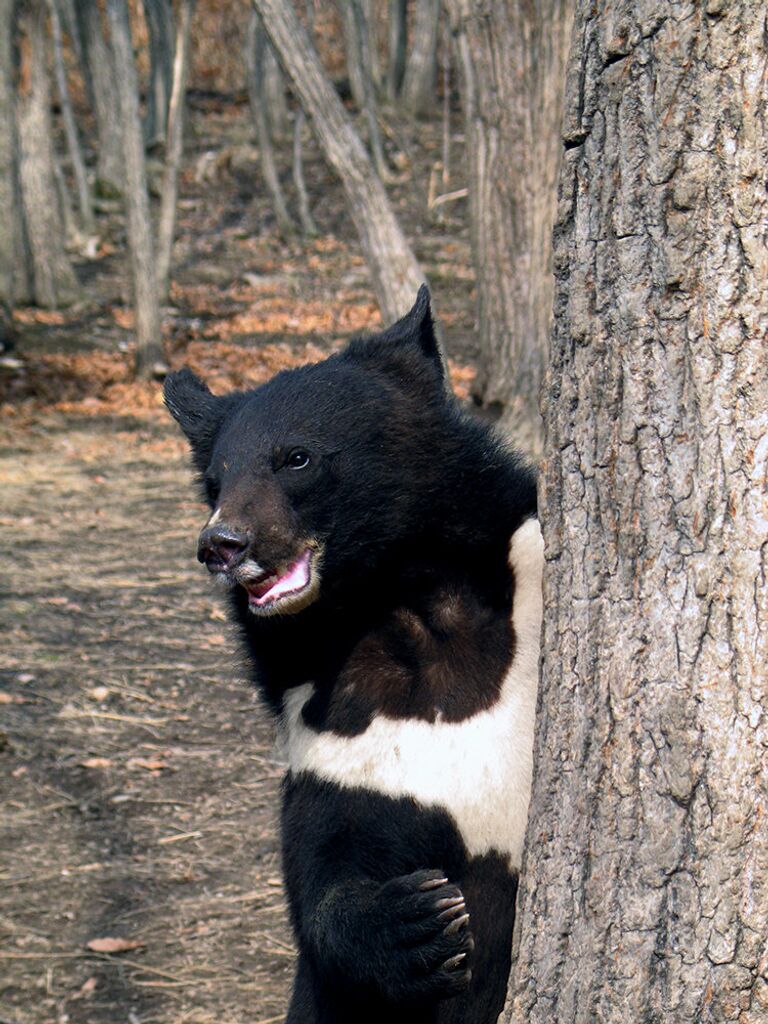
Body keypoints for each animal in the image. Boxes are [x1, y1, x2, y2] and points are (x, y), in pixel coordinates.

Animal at [165, 286, 544, 1024]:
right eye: (216, 479)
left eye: (296, 458)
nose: (222, 544)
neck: (403, 599)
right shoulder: (340, 739)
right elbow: (324, 865)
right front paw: (420, 921)